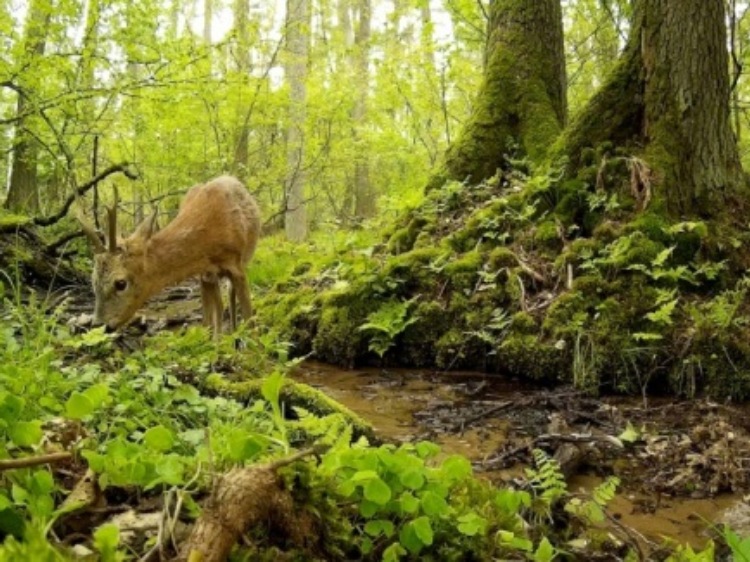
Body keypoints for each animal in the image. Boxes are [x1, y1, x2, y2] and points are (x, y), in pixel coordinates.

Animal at [81, 174, 262, 336]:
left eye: (120, 283)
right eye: (93, 281)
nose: (99, 325)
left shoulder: (236, 266)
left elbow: (249, 319)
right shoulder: (205, 273)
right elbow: (208, 320)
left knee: (229, 294)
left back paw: (235, 332)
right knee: (219, 306)